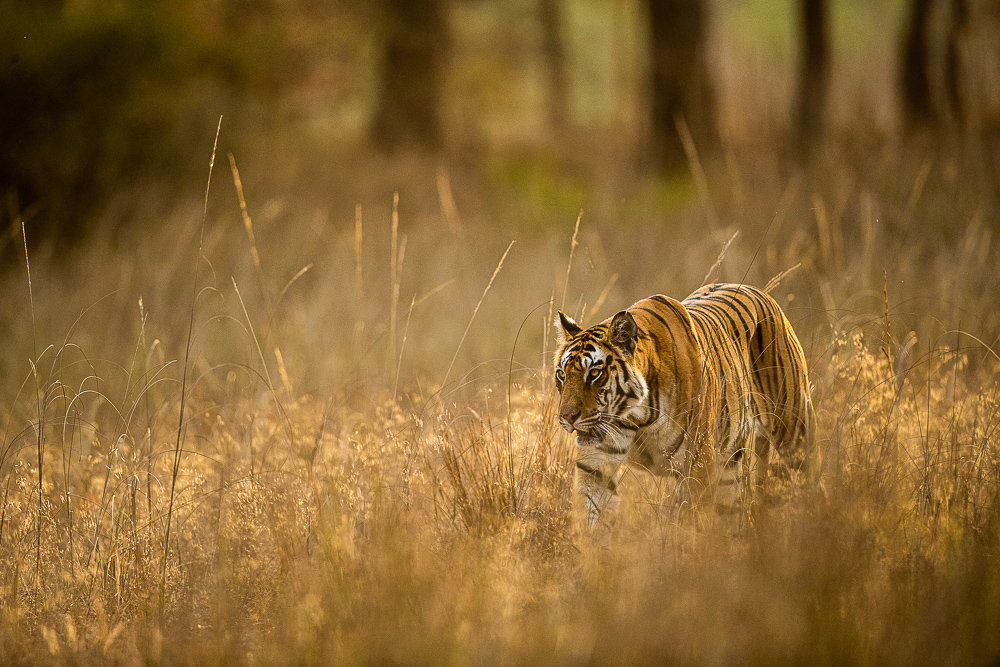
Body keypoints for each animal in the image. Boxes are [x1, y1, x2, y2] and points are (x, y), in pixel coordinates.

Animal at [552, 282, 816, 532]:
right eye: (562, 375)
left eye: (594, 373)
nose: (567, 417)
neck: (638, 415)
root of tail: (763, 294)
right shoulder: (595, 464)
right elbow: (592, 515)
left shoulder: (698, 465)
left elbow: (689, 527)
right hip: (730, 467)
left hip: (794, 432)